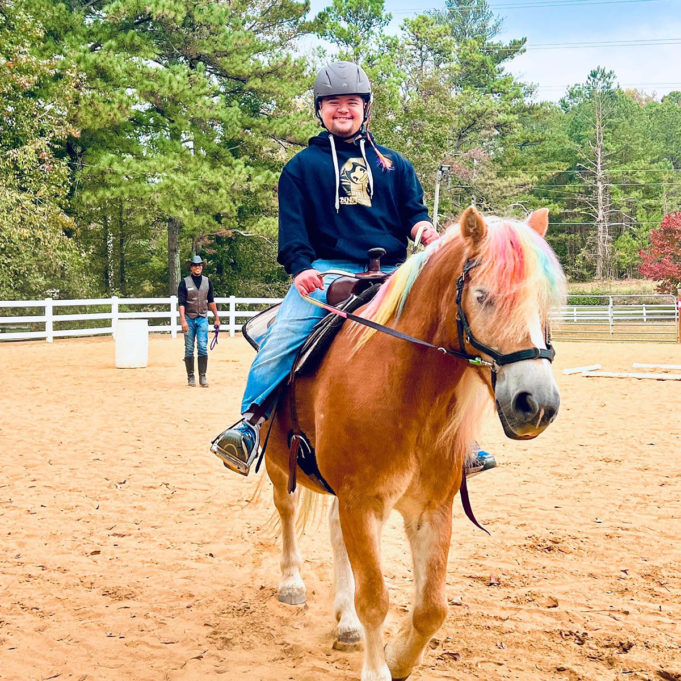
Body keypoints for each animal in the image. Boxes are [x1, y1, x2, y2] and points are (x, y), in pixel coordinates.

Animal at [262, 205, 567, 681]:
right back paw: (292, 583)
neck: (406, 392)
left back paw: (345, 623)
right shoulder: (361, 502)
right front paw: (377, 669)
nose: (537, 404)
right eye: (482, 296)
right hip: (281, 465)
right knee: (288, 510)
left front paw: (398, 657)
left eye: (543, 302)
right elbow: (375, 600)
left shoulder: (431, 509)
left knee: (334, 535)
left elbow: (432, 609)